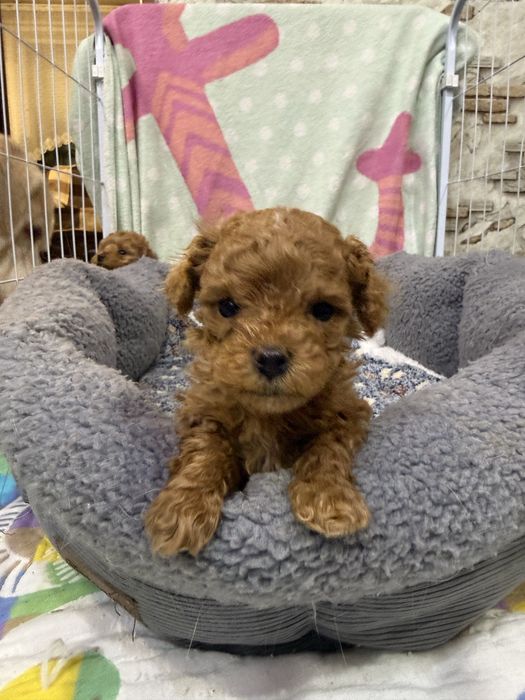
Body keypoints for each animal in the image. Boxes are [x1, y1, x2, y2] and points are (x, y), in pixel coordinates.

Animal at [145, 207, 388, 556]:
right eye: (227, 306)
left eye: (323, 310)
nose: (271, 358)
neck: (268, 415)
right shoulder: (205, 410)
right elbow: (205, 449)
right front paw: (181, 509)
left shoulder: (346, 410)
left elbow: (328, 447)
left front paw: (329, 500)